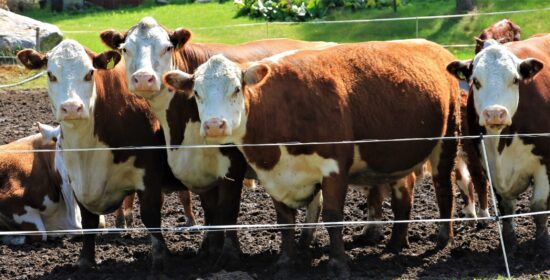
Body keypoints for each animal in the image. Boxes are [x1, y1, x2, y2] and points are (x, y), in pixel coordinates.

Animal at [17, 39, 190, 274]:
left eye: (90, 73)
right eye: (51, 74)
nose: (72, 107)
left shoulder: (149, 173)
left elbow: (151, 215)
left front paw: (160, 259)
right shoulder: (76, 181)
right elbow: (88, 221)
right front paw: (85, 260)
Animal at [99, 17, 336, 262]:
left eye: (167, 47)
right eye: (126, 49)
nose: (143, 79)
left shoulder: (233, 166)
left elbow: (228, 210)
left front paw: (230, 252)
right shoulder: (203, 170)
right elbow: (211, 211)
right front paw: (209, 248)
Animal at [163, 38, 462, 276]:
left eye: (236, 88)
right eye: (197, 93)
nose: (214, 125)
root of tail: (433, 46)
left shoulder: (334, 167)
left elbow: (332, 216)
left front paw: (338, 265)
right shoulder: (272, 173)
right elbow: (284, 221)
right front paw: (285, 262)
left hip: (449, 137)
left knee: (443, 186)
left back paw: (442, 238)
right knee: (404, 191)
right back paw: (397, 242)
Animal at [450, 36, 548, 255]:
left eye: (515, 80)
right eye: (476, 81)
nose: (495, 113)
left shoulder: (546, 161)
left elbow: (539, 206)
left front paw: (541, 242)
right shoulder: (488, 163)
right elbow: (505, 207)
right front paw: (509, 240)